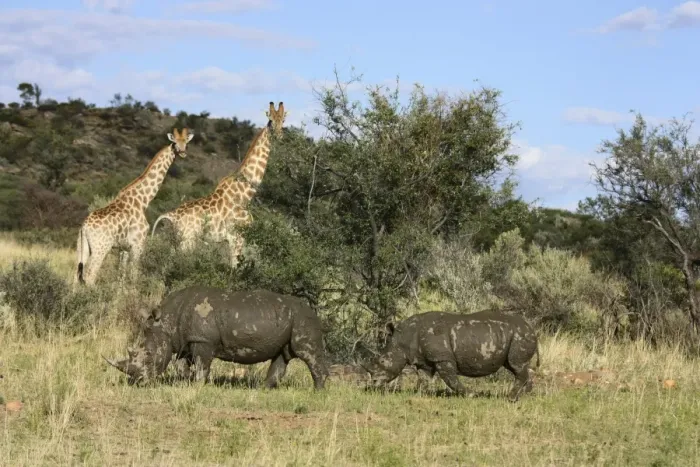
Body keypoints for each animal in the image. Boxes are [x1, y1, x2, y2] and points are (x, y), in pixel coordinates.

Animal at [75, 128, 194, 285]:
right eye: (175, 142)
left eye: (186, 142)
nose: (182, 152)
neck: (143, 200)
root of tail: (84, 227)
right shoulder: (138, 244)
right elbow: (134, 274)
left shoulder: (124, 248)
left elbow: (121, 275)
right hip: (101, 248)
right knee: (89, 275)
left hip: (82, 247)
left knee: (76, 275)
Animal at [150, 102, 286, 267]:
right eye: (270, 121)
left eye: (283, 121)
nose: (279, 136)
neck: (246, 194)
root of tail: (171, 215)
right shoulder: (237, 237)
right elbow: (235, 267)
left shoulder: (232, 239)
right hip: (187, 241)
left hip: (176, 241)